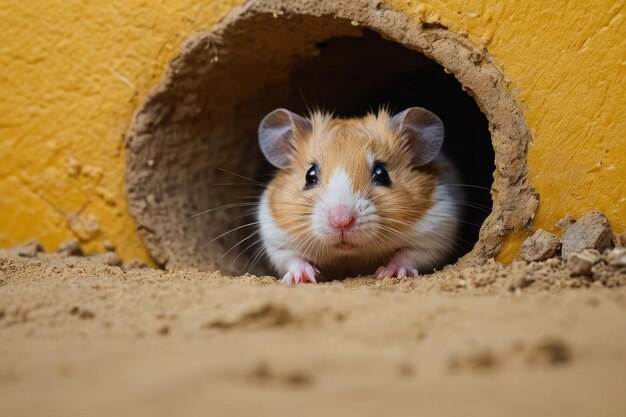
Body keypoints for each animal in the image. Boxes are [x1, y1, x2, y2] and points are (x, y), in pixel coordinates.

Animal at [255, 107, 464, 282]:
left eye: (382, 173)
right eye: (309, 175)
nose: (341, 222)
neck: (348, 255)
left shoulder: (435, 235)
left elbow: (408, 254)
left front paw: (388, 272)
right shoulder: (276, 239)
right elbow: (292, 258)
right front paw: (301, 278)